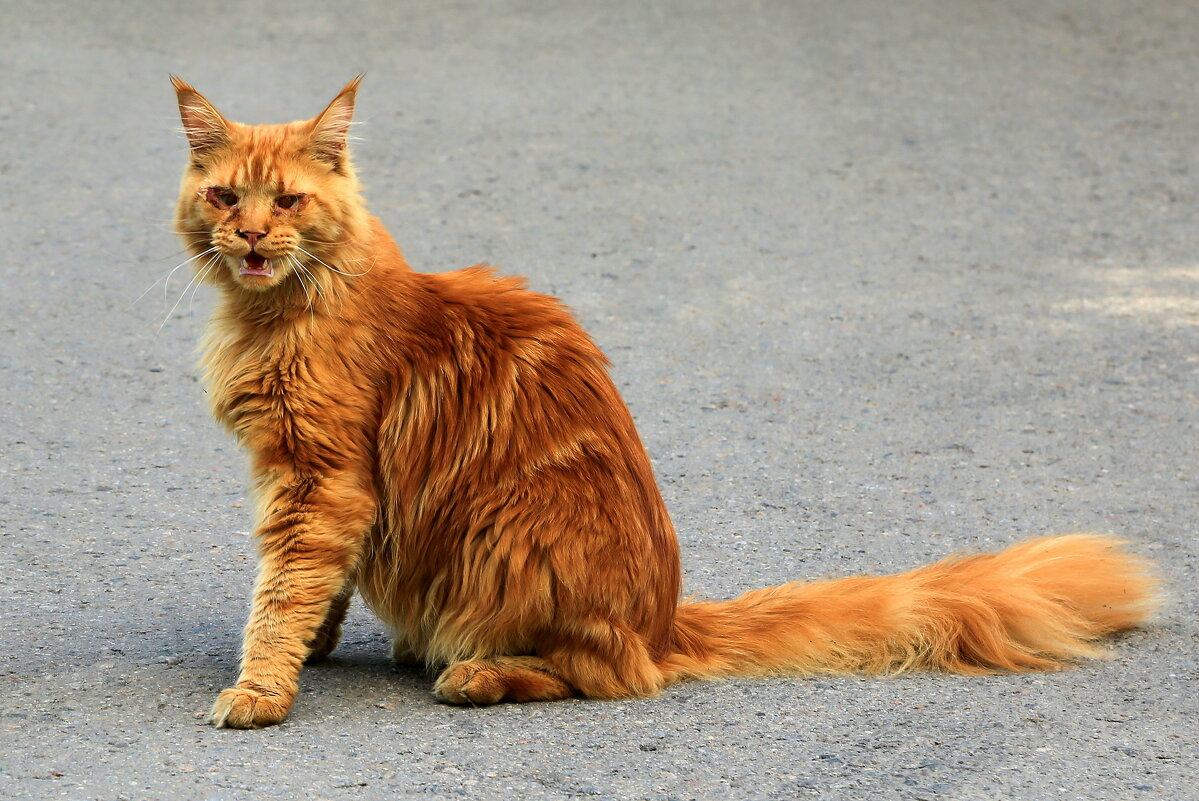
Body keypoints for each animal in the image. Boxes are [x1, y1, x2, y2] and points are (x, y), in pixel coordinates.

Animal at [171, 77, 1160, 729]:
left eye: (287, 200)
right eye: (223, 195)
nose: (249, 236)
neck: (277, 310)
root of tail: (664, 619)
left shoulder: (321, 477)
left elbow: (283, 588)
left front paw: (262, 686)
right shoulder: (324, 486)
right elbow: (317, 586)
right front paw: (315, 648)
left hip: (512, 541)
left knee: (605, 674)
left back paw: (480, 675)